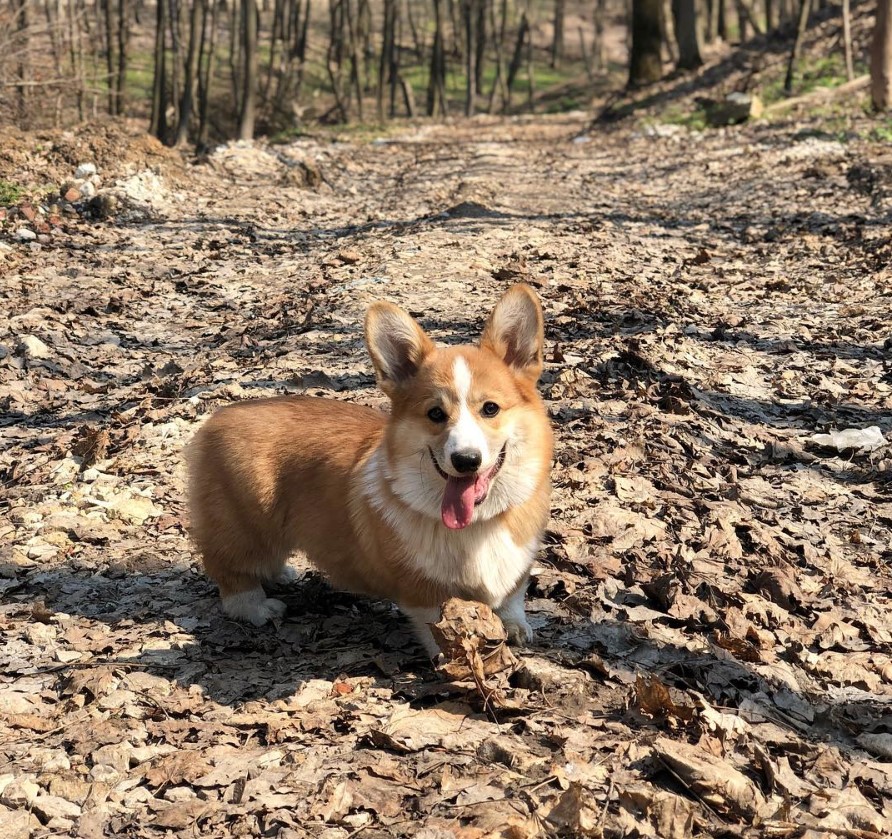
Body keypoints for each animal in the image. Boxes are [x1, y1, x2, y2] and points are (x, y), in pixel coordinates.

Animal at [186, 286, 556, 660]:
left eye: (490, 409)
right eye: (435, 414)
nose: (466, 460)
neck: (478, 524)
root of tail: (217, 416)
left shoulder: (518, 567)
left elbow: (512, 596)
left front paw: (515, 626)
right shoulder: (422, 590)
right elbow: (438, 624)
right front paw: (453, 658)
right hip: (246, 525)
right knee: (229, 568)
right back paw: (256, 607)